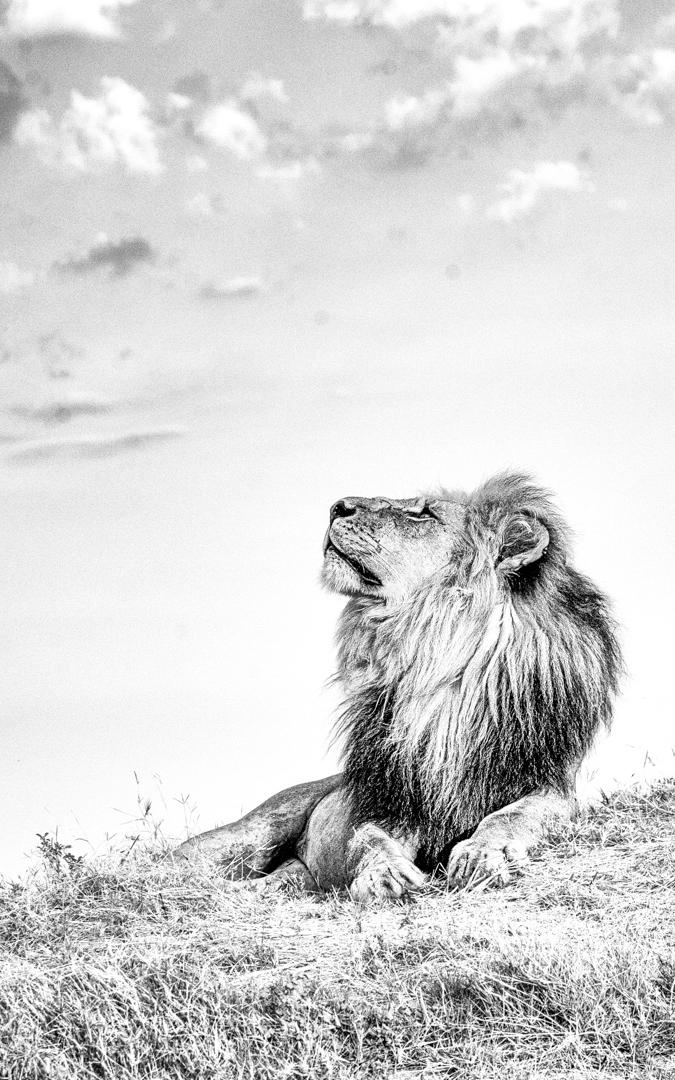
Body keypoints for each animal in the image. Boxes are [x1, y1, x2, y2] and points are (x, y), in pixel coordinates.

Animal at [176, 473, 621, 901]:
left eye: (422, 514)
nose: (337, 505)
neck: (438, 672)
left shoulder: (548, 785)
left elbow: (514, 815)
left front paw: (481, 855)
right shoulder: (382, 800)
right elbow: (367, 838)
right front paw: (385, 875)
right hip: (250, 833)